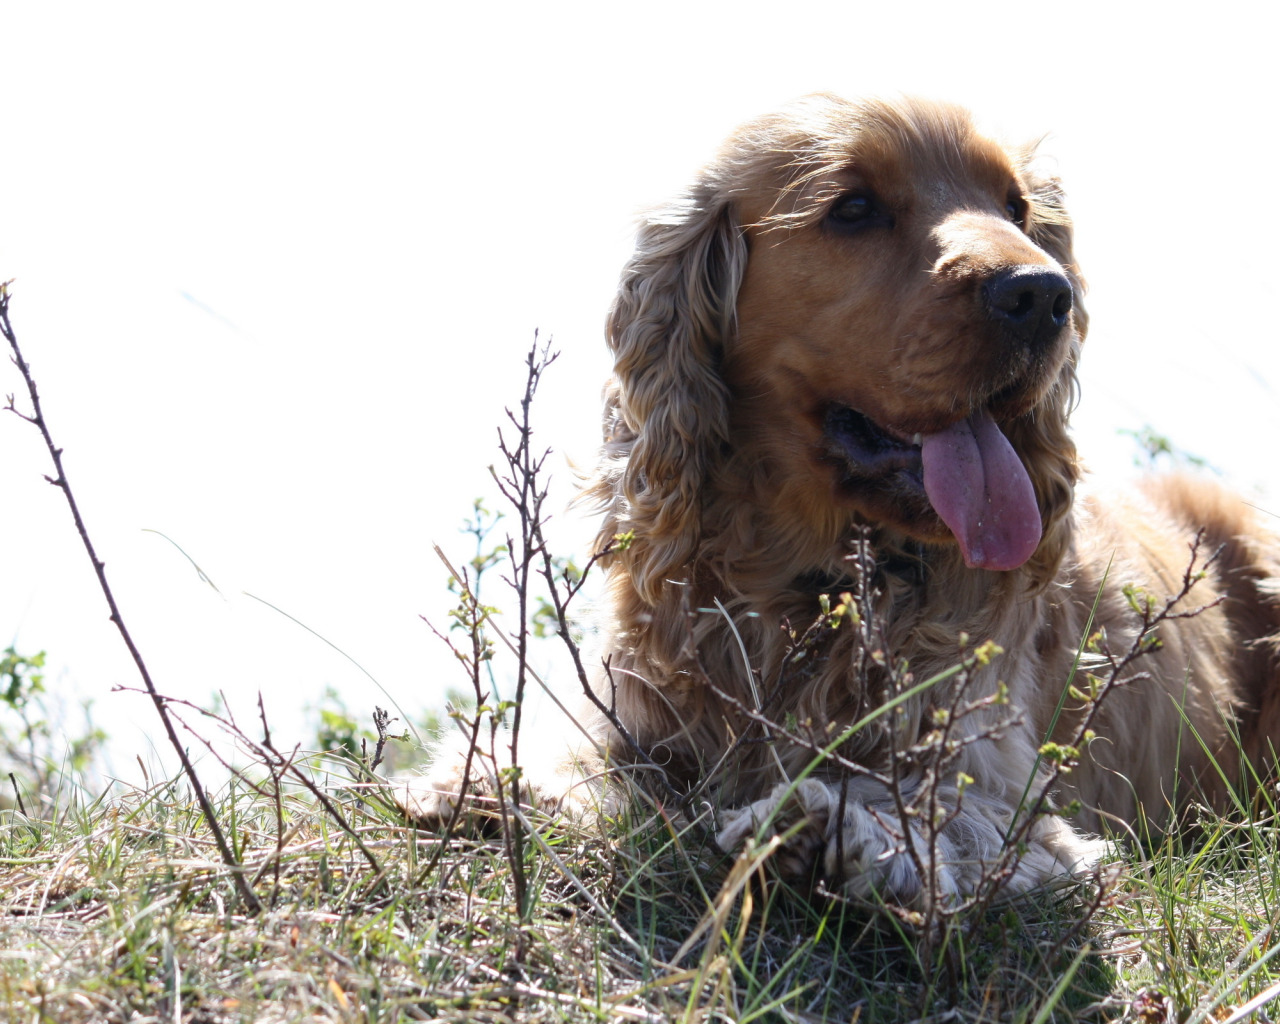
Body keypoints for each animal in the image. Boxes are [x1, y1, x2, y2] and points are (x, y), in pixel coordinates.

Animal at [404, 96, 1280, 906]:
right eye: (853, 208)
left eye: (1018, 209)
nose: (1043, 294)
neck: (810, 584)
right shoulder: (647, 714)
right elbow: (594, 755)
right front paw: (483, 782)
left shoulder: (1001, 788)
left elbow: (931, 812)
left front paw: (829, 827)